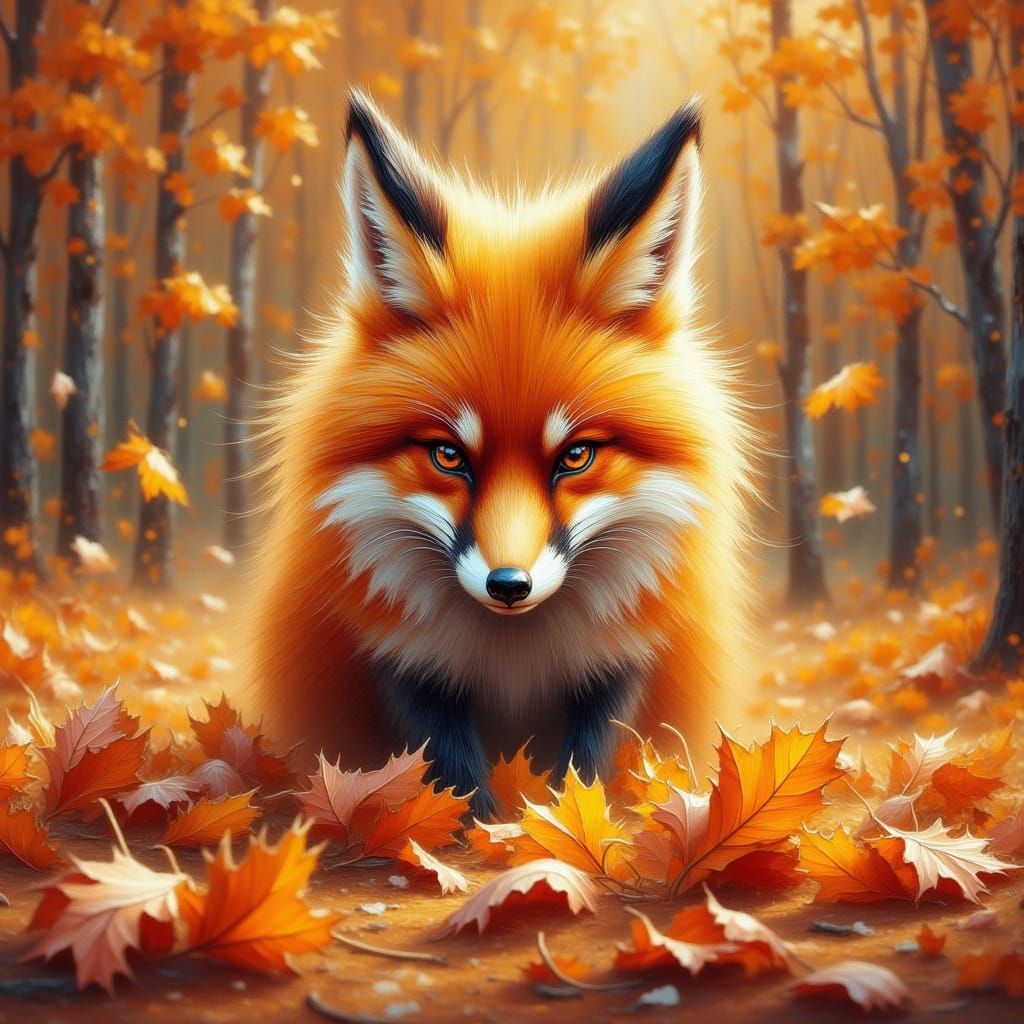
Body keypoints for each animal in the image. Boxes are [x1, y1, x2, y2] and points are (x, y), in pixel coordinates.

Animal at [250, 90, 752, 817]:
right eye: (447, 456)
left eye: (576, 456)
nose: (509, 586)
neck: (515, 660)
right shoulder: (397, 656)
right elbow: (451, 774)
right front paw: (483, 829)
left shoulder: (627, 657)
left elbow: (587, 766)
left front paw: (572, 823)